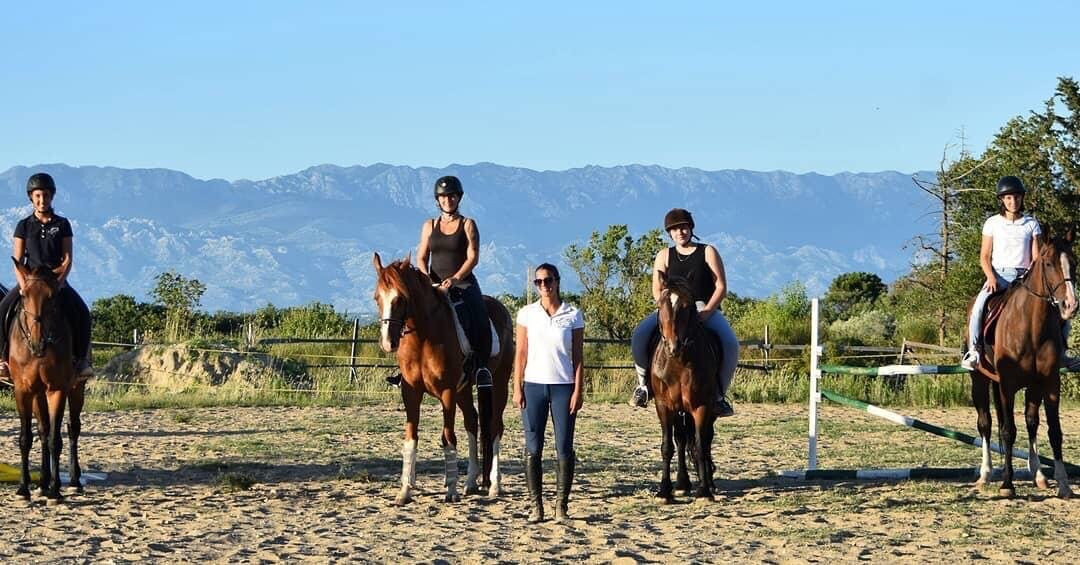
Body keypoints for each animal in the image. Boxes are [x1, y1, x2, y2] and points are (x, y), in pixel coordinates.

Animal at [7, 263, 86, 501]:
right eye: (24, 295)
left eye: (52, 298)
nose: (38, 343)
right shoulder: (23, 390)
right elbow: (26, 438)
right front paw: (24, 488)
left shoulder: (57, 389)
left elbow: (55, 439)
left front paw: (55, 490)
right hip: (38, 393)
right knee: (43, 429)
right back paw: (42, 482)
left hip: (77, 388)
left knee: (73, 429)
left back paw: (74, 481)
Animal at [371, 251, 514, 503]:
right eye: (377, 298)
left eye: (400, 299)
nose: (389, 343)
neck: (424, 336)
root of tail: (502, 310)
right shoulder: (411, 392)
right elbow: (411, 438)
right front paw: (404, 491)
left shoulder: (447, 392)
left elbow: (448, 437)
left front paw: (451, 490)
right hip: (464, 389)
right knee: (472, 422)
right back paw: (470, 482)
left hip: (498, 383)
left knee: (495, 426)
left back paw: (494, 486)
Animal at [648, 274, 717, 503]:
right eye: (661, 304)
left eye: (687, 306)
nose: (673, 346)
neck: (678, 362)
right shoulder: (664, 406)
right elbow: (667, 446)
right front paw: (664, 490)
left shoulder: (701, 406)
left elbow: (700, 445)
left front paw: (704, 491)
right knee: (680, 439)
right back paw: (682, 484)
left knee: (705, 440)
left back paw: (709, 484)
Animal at [972, 231, 1080, 499]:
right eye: (1048, 263)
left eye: (1074, 263)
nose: (1070, 305)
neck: (1030, 326)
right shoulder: (1007, 385)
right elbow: (1008, 431)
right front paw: (1007, 485)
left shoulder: (1049, 383)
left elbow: (1053, 432)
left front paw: (1063, 483)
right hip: (980, 381)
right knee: (986, 423)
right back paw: (986, 474)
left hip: (1031, 387)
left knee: (1031, 423)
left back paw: (1038, 474)